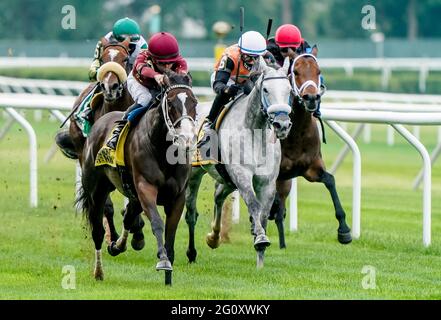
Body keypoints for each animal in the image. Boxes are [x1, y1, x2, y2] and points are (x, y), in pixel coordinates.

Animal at [77, 72, 196, 284]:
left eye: (195, 103)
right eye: (171, 104)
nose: (187, 139)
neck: (163, 150)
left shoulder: (177, 196)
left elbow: (171, 233)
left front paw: (168, 277)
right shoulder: (145, 188)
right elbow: (157, 223)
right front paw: (163, 261)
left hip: (131, 194)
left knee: (128, 218)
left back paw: (118, 245)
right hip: (96, 191)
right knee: (98, 231)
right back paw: (99, 271)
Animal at [185, 58, 292, 268]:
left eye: (289, 90)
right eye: (266, 89)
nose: (282, 124)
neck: (255, 132)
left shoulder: (267, 182)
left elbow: (264, 214)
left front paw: (260, 259)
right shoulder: (242, 174)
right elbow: (253, 204)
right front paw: (260, 239)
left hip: (227, 179)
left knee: (218, 196)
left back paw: (214, 237)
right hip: (195, 174)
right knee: (191, 213)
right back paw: (192, 252)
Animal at [268, 47, 350, 249]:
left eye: (318, 71)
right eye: (296, 72)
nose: (311, 97)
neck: (296, 132)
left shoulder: (310, 168)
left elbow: (330, 181)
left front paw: (344, 230)